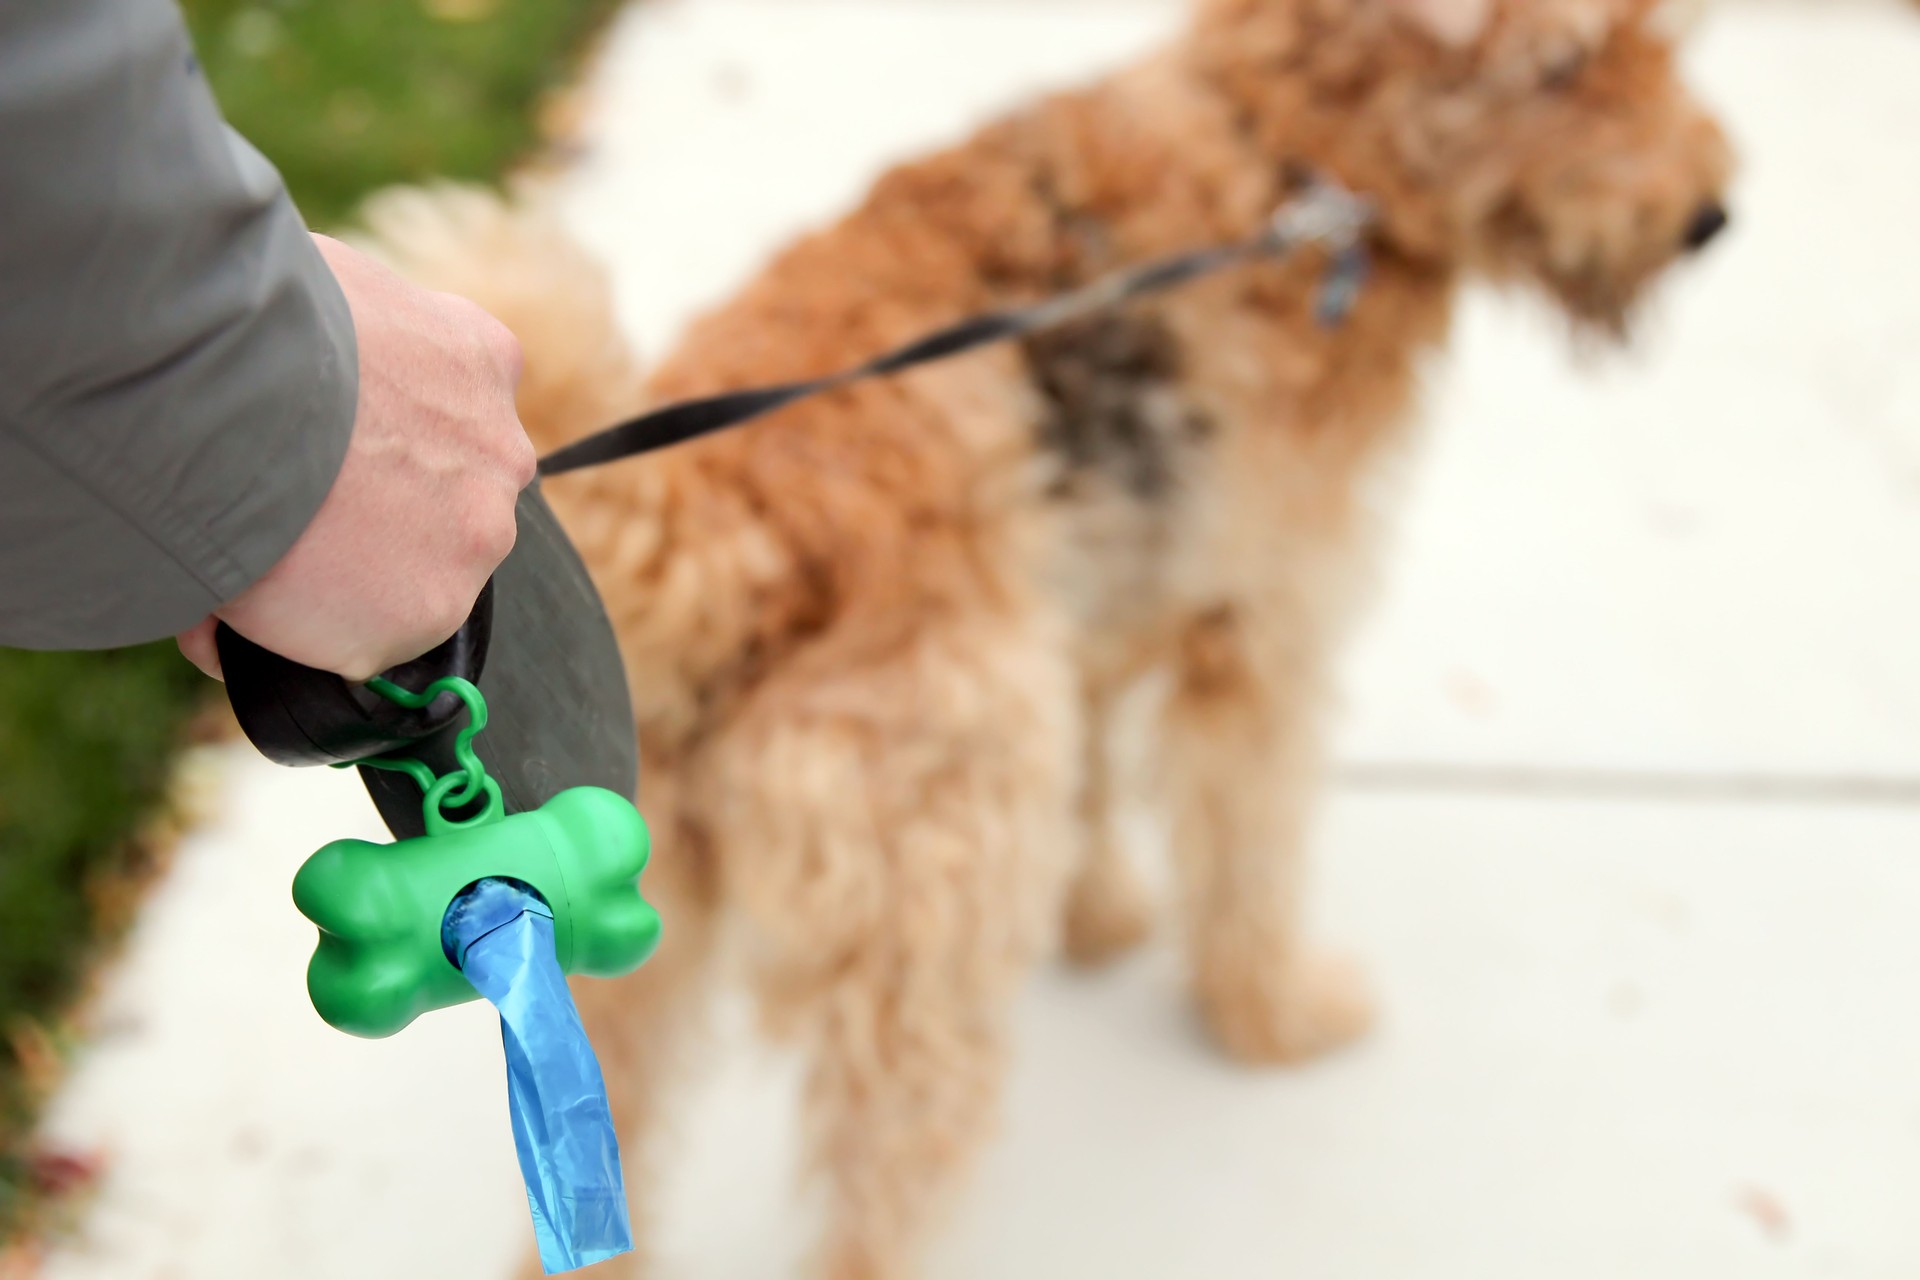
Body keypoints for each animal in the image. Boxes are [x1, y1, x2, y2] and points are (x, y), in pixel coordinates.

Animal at [360, 0, 1728, 1274]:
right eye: (1563, 66)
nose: (1711, 215)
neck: (1283, 149)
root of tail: (727, 520)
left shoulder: (1093, 614)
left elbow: (1099, 786)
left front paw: (1104, 918)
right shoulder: (1258, 632)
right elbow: (1248, 856)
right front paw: (1276, 1015)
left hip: (631, 942)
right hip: (926, 947)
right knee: (875, 1209)